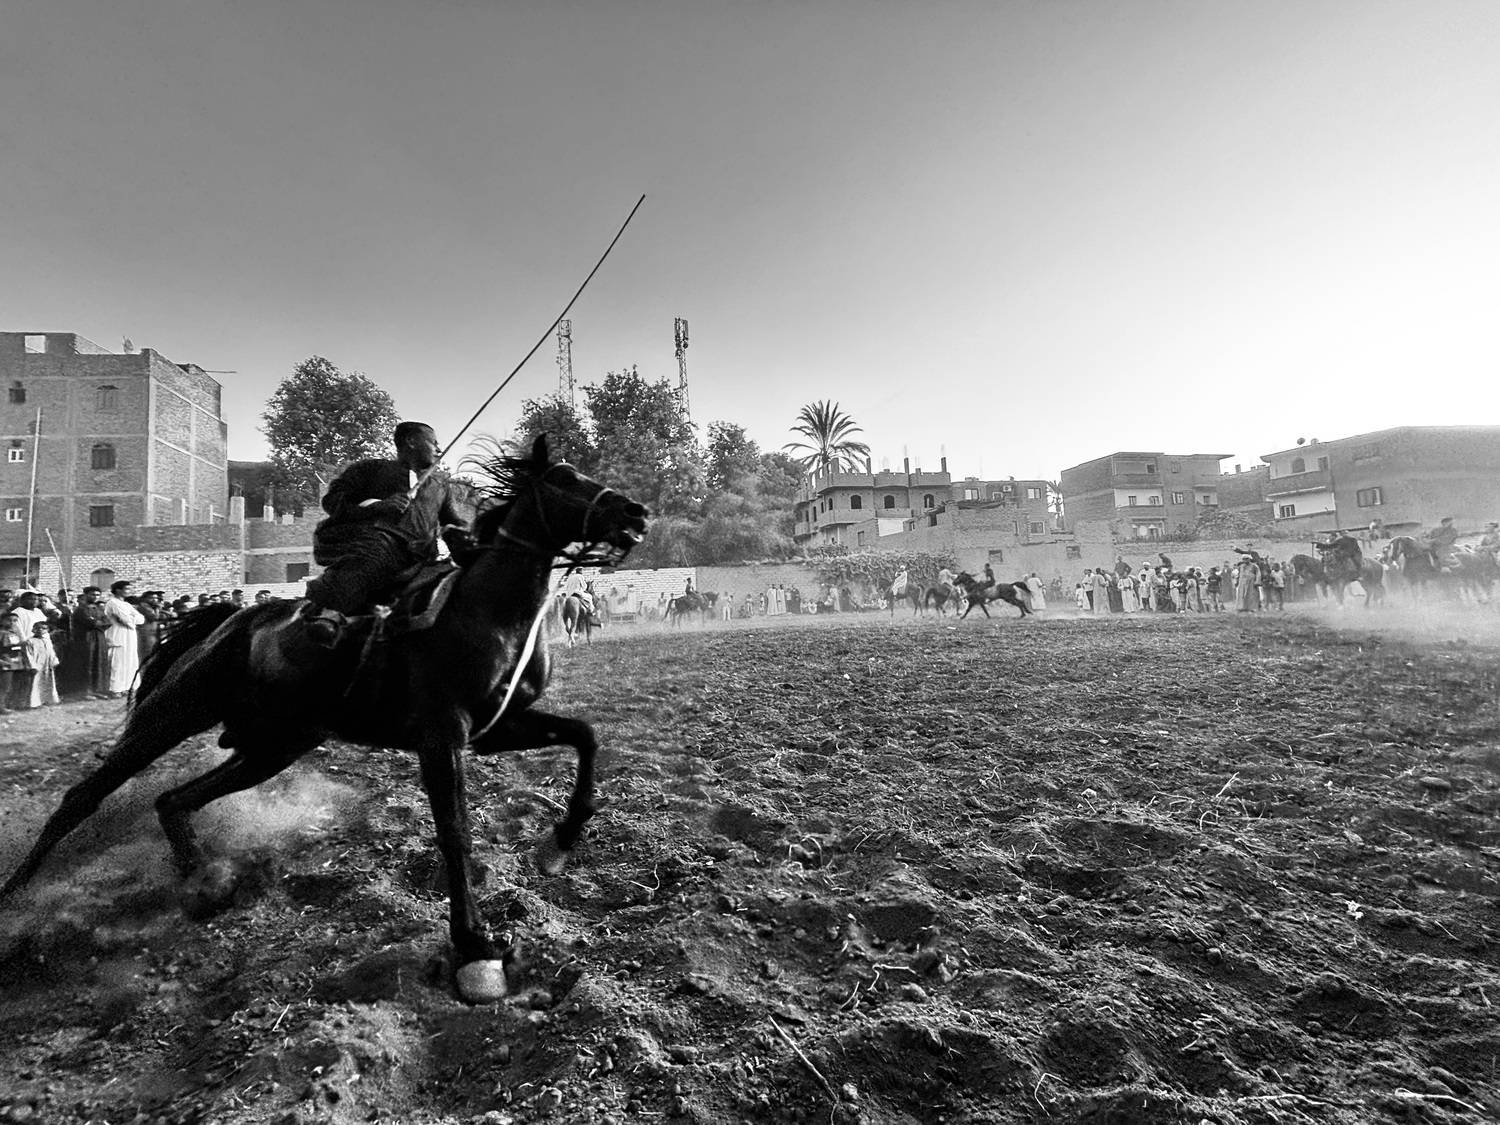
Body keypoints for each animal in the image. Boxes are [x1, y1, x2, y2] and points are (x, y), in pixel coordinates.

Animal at [0, 434, 649, 1004]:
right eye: (564, 478)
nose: (636, 512)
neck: (486, 610)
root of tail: (226, 621)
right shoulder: (440, 738)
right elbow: (455, 833)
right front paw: (474, 949)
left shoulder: (496, 730)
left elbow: (586, 738)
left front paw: (560, 843)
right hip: (172, 716)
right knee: (83, 797)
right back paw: (16, 896)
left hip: (272, 746)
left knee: (174, 800)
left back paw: (200, 882)